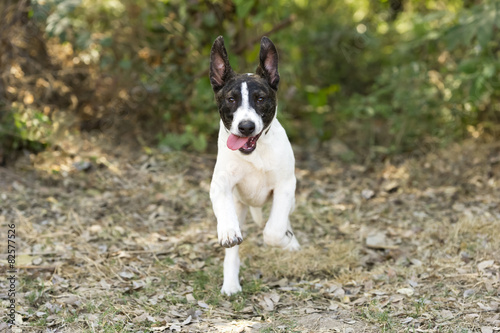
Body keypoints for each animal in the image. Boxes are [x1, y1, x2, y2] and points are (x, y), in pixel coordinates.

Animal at [209, 35, 298, 296]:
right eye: (231, 99)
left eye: (260, 99)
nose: (246, 127)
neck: (255, 153)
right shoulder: (219, 185)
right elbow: (225, 215)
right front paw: (228, 232)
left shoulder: (286, 185)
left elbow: (274, 231)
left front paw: (285, 240)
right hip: (239, 205)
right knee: (233, 252)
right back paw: (231, 284)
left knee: (283, 217)